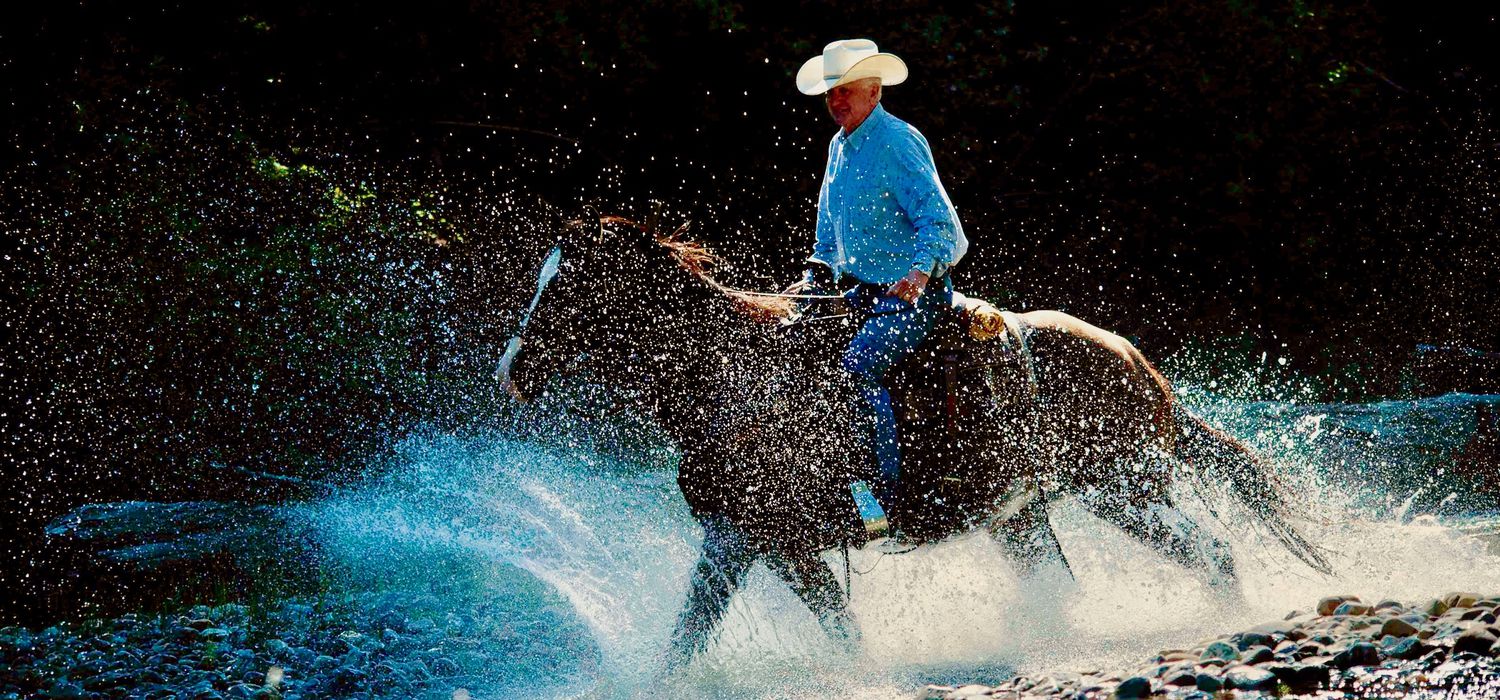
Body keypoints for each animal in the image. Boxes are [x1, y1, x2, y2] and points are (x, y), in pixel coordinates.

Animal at [498, 215, 1332, 671]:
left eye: (567, 285)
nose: (511, 368)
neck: (732, 377)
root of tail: (1134, 359)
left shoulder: (776, 542)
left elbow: (829, 630)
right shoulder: (743, 540)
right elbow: (692, 637)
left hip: (1125, 487)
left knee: (1212, 552)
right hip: (1022, 516)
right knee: (1065, 584)